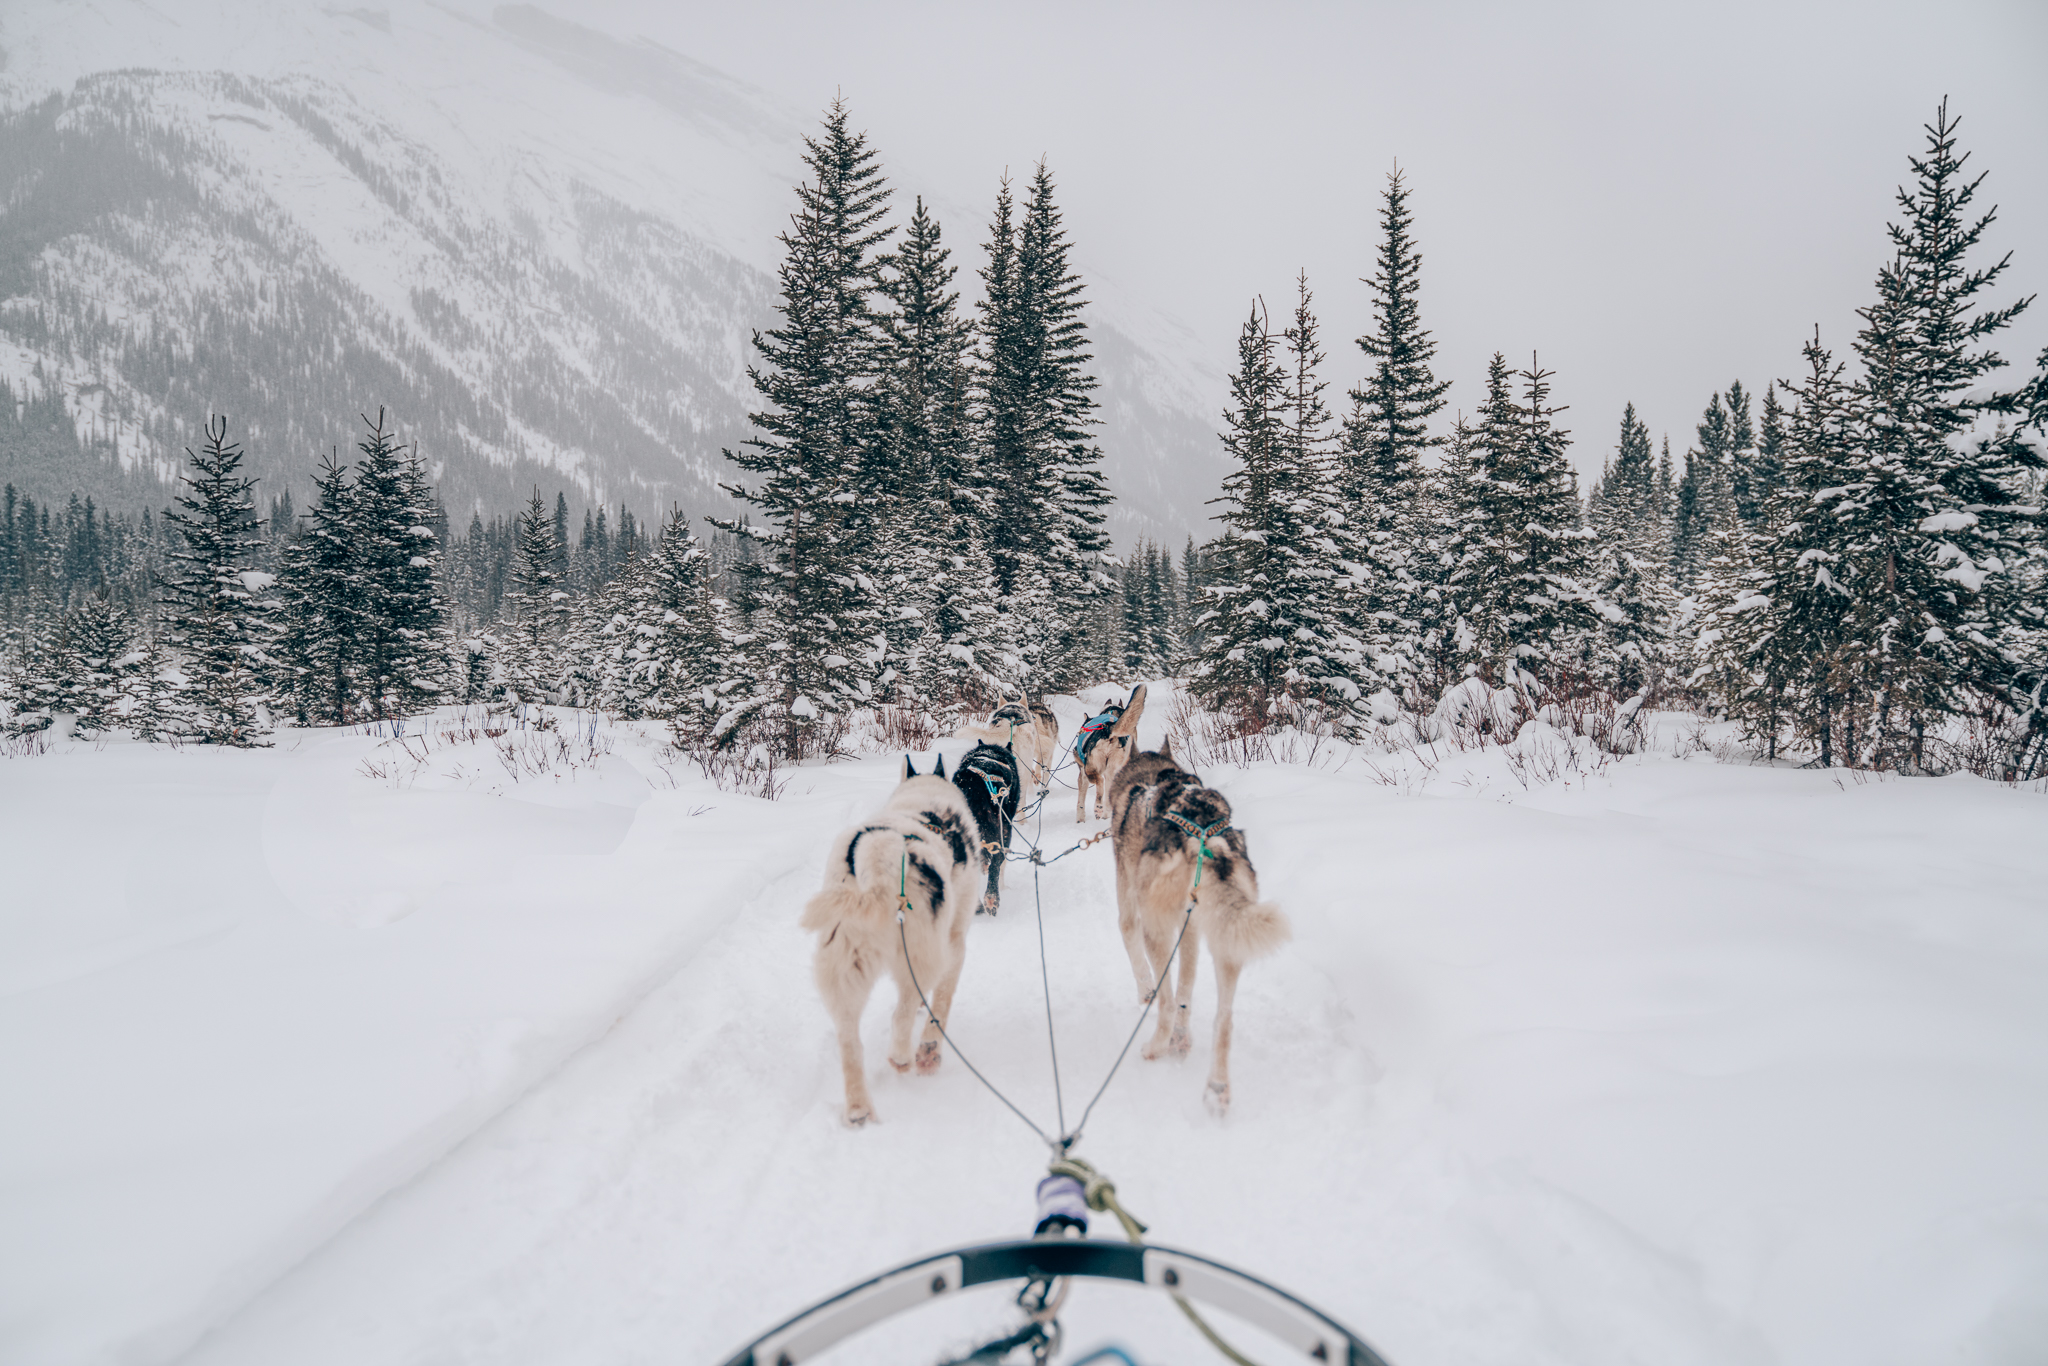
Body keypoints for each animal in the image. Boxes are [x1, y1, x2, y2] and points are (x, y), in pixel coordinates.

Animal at [798, 753, 983, 1130]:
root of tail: (881, 851)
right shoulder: (954, 945)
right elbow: (940, 1005)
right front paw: (930, 1051)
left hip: (843, 967)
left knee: (850, 1042)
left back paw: (859, 1109)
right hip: (920, 955)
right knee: (901, 1013)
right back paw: (903, 1057)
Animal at [1073, 684, 1155, 823]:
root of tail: (1107, 730)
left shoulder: (1083, 774)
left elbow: (1080, 801)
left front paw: (1080, 819)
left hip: (1092, 770)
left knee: (1100, 782)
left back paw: (1098, 808)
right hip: (1113, 770)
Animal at [1114, 741, 1286, 1114]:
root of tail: (1204, 836)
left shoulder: (1131, 914)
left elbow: (1139, 962)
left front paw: (1145, 996)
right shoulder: (1190, 927)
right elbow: (1187, 987)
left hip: (1156, 929)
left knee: (1165, 1002)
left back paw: (1156, 1046)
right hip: (1226, 939)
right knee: (1223, 1018)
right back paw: (1215, 1086)